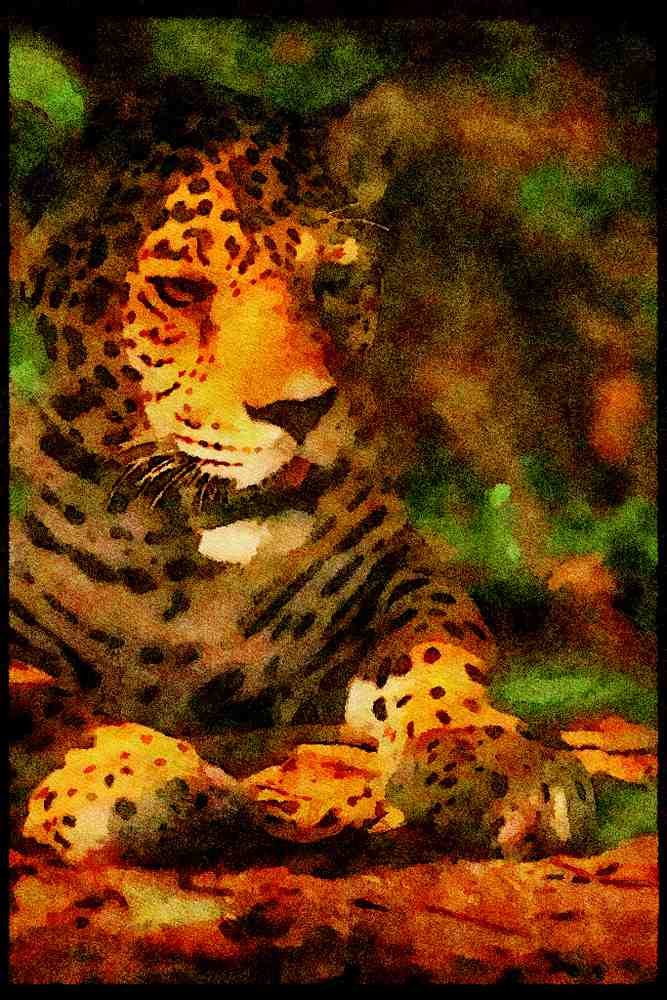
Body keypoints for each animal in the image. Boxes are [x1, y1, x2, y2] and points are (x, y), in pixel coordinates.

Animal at [9, 86, 596, 862]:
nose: (303, 409)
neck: (177, 565)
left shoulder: (390, 569)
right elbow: (43, 696)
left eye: (334, 280)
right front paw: (129, 771)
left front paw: (492, 754)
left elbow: (441, 649)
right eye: (179, 291)